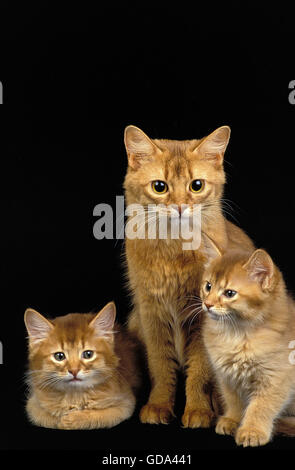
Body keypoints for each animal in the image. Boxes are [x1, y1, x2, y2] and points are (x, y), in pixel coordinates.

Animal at [24, 302, 142, 430]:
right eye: (59, 356)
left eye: (88, 354)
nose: (74, 371)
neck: (75, 396)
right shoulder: (33, 405)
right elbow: (48, 418)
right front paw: (62, 419)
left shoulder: (125, 403)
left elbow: (97, 416)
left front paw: (73, 419)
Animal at [123, 125, 256, 426]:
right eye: (160, 187)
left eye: (196, 185)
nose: (181, 206)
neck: (173, 251)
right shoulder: (150, 313)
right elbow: (160, 366)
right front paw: (158, 405)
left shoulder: (204, 317)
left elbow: (200, 373)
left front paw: (198, 411)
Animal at [202, 248, 295, 446]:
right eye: (208, 286)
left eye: (230, 293)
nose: (207, 304)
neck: (237, 335)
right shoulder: (226, 376)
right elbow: (233, 400)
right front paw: (233, 420)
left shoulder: (277, 378)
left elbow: (261, 406)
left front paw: (252, 431)